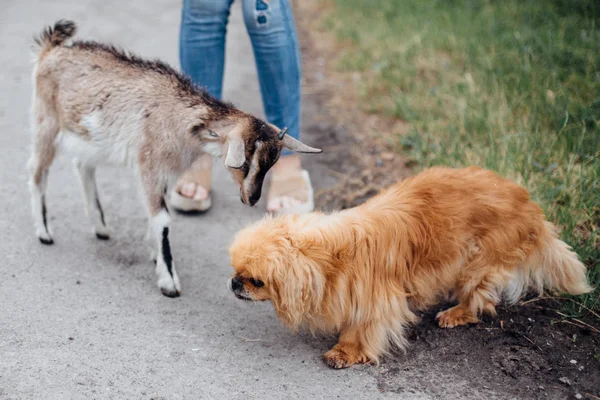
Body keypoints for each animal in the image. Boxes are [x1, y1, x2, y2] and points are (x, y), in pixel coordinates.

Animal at [27, 21, 324, 296]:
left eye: (272, 162)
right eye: (245, 161)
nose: (251, 198)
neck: (178, 117)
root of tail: (50, 49)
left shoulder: (163, 171)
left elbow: (155, 216)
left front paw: (155, 254)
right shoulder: (149, 166)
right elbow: (162, 219)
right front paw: (169, 281)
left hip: (89, 137)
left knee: (82, 165)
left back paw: (100, 227)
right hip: (46, 121)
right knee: (37, 172)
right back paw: (44, 232)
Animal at [227, 166, 592, 368]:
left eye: (256, 281)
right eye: (237, 272)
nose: (234, 283)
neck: (331, 255)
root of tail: (530, 205)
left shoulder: (375, 302)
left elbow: (362, 331)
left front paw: (347, 352)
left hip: (479, 262)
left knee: (480, 297)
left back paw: (456, 313)